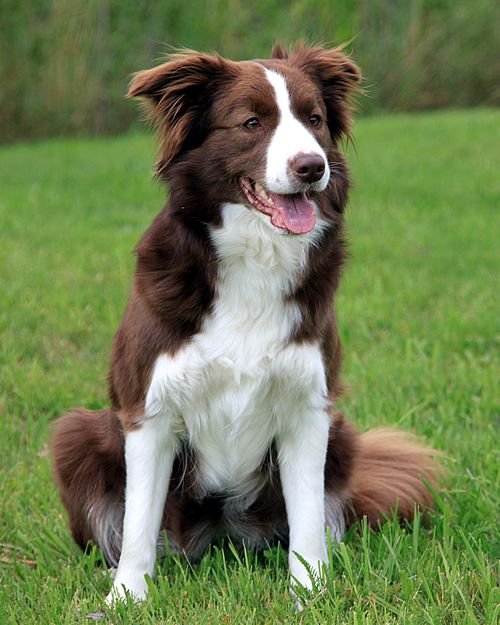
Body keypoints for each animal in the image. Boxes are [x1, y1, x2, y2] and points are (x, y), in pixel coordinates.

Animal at [52, 41, 440, 604]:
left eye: (314, 119)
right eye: (251, 123)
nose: (311, 167)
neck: (257, 256)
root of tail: (220, 533)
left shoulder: (309, 405)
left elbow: (308, 519)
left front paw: (310, 594)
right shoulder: (148, 408)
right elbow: (139, 522)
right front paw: (126, 596)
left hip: (342, 436)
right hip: (77, 436)